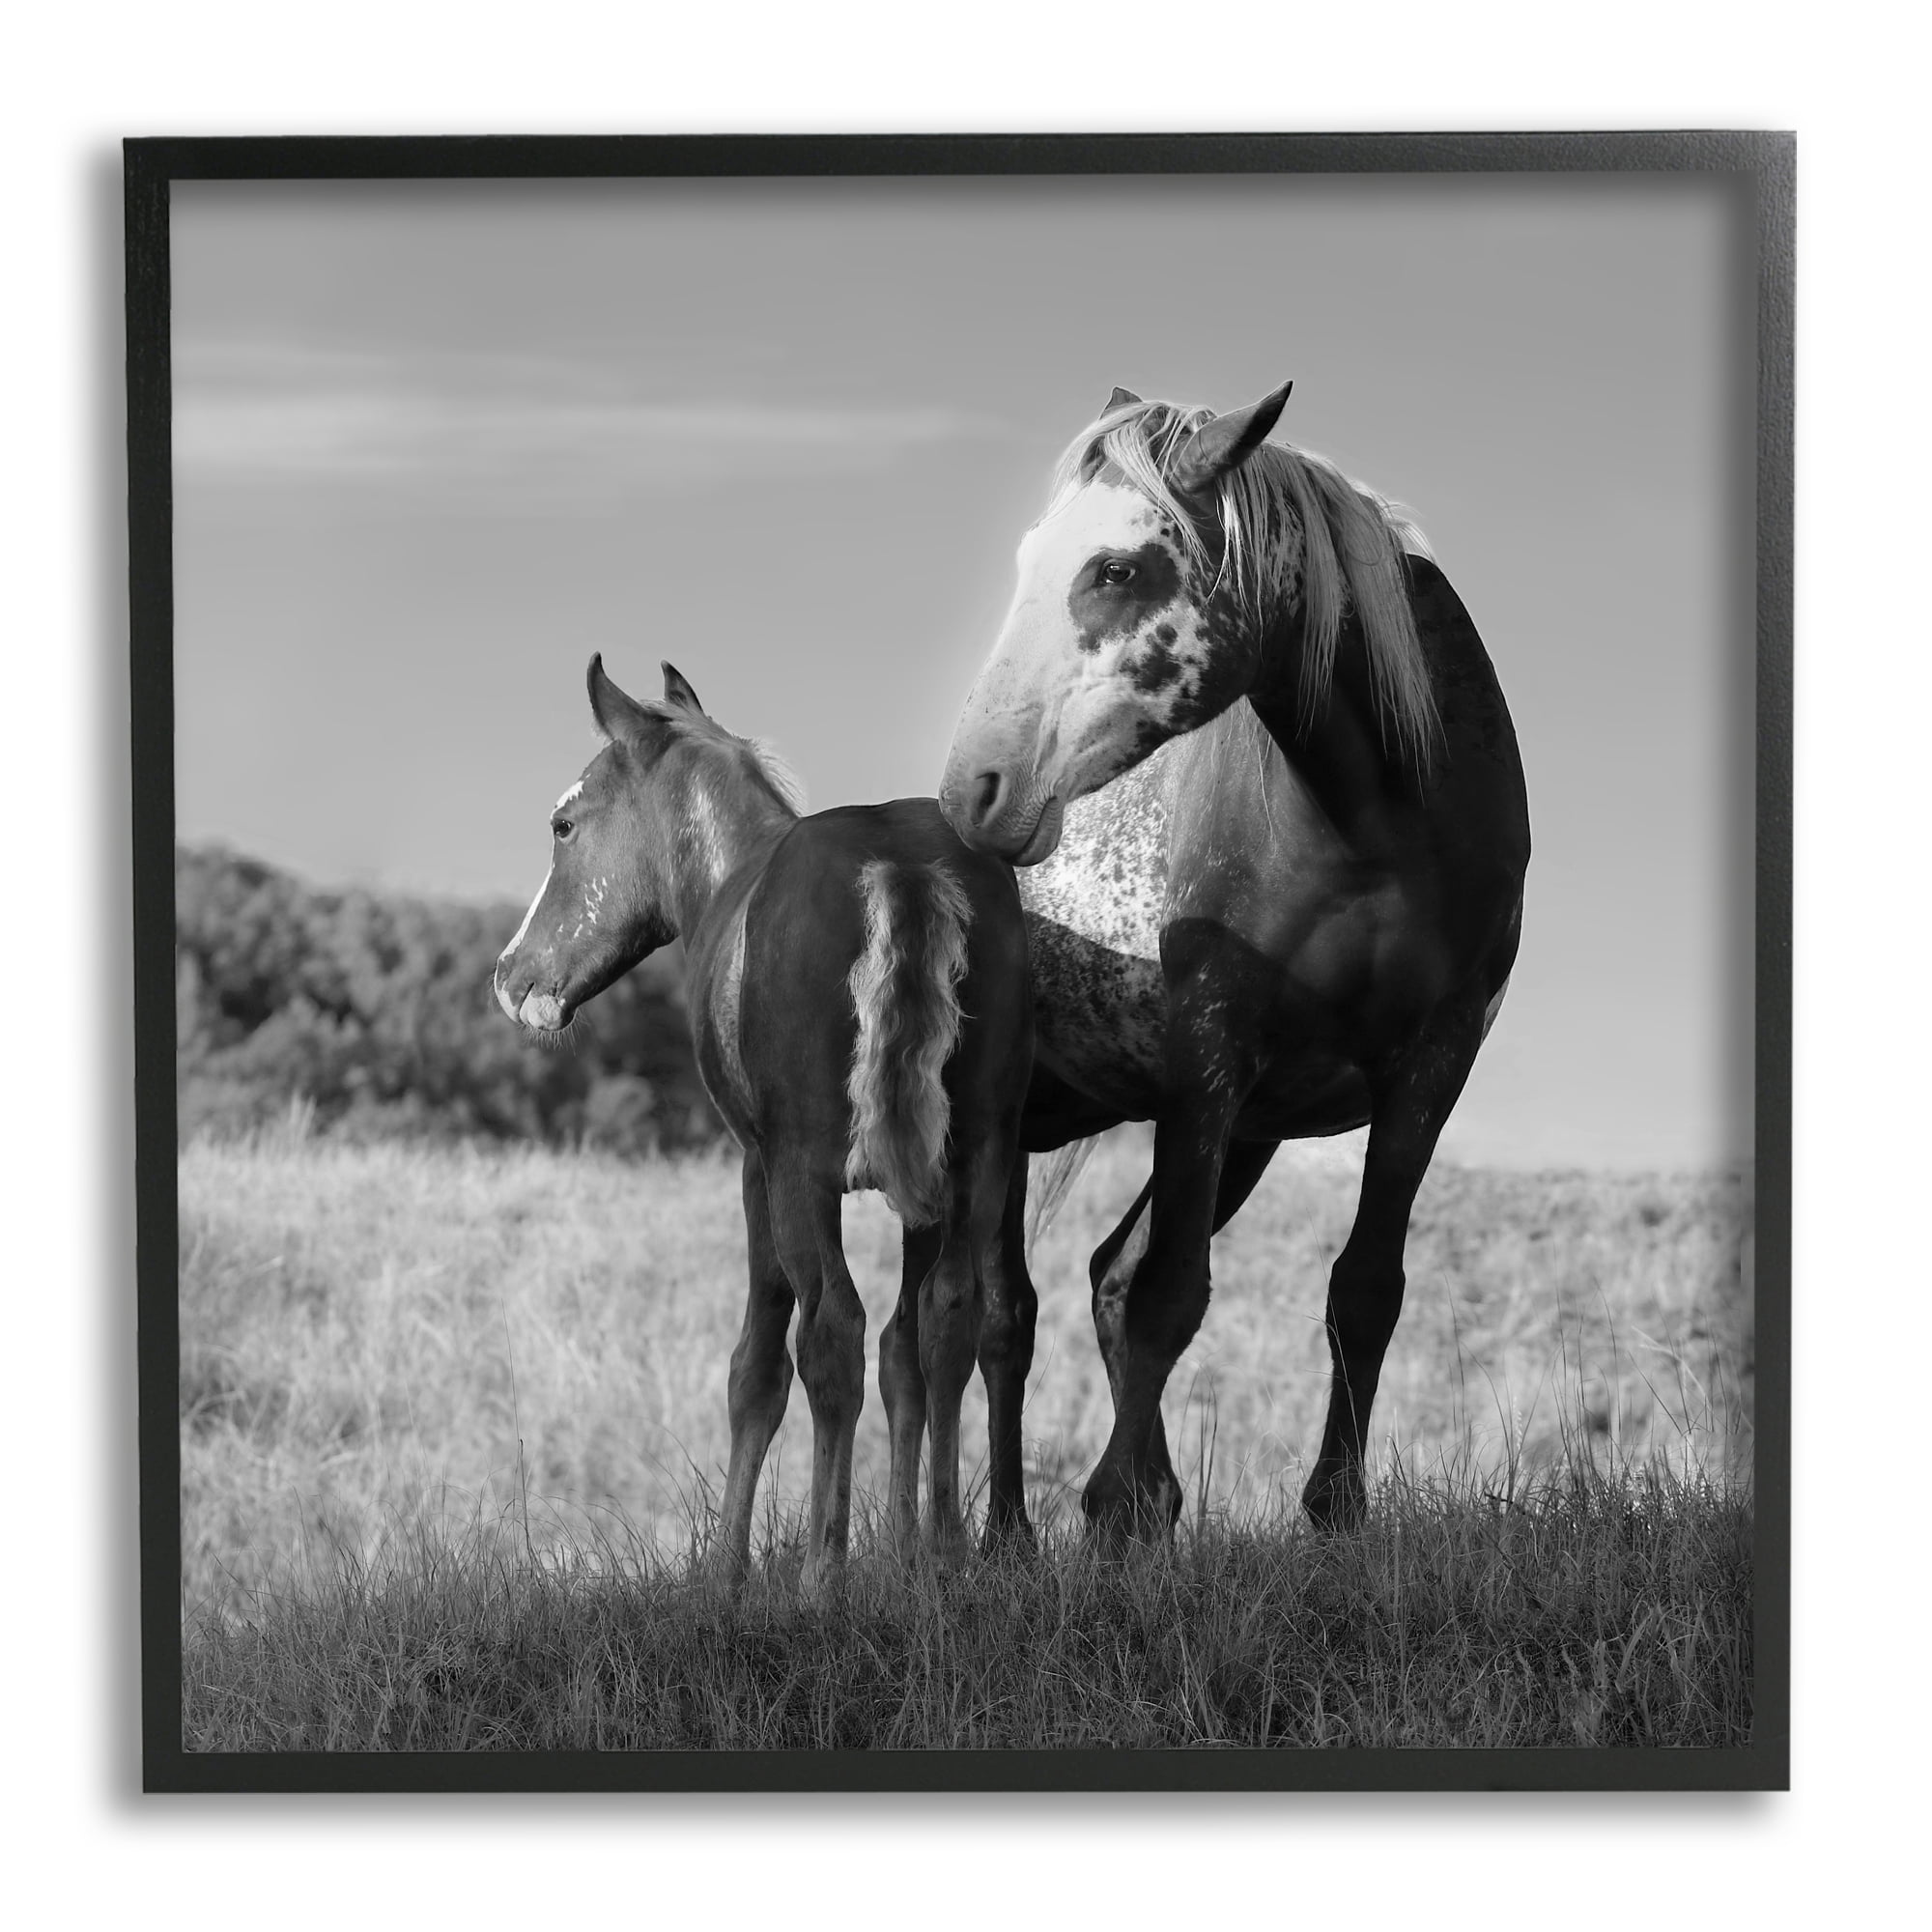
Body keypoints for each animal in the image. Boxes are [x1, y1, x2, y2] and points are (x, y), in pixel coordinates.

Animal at [494, 656, 1036, 1591]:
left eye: (564, 824)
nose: (511, 975)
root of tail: (901, 867)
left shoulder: (756, 1170)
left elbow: (758, 1364)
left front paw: (728, 1568)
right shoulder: (925, 1187)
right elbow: (908, 1350)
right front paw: (907, 1551)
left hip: (802, 1176)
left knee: (831, 1332)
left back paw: (822, 1569)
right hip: (980, 1158)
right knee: (948, 1316)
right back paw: (944, 1550)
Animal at [940, 384, 1530, 1538]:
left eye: (1115, 569)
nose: (975, 787)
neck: (1376, 825)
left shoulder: (1426, 1069)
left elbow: (1363, 1289)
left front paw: (1331, 1509)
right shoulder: (1208, 1051)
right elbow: (1172, 1292)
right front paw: (1114, 1510)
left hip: (1246, 1130)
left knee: (1098, 1279)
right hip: (1013, 1124)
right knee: (999, 1316)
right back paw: (1004, 1538)